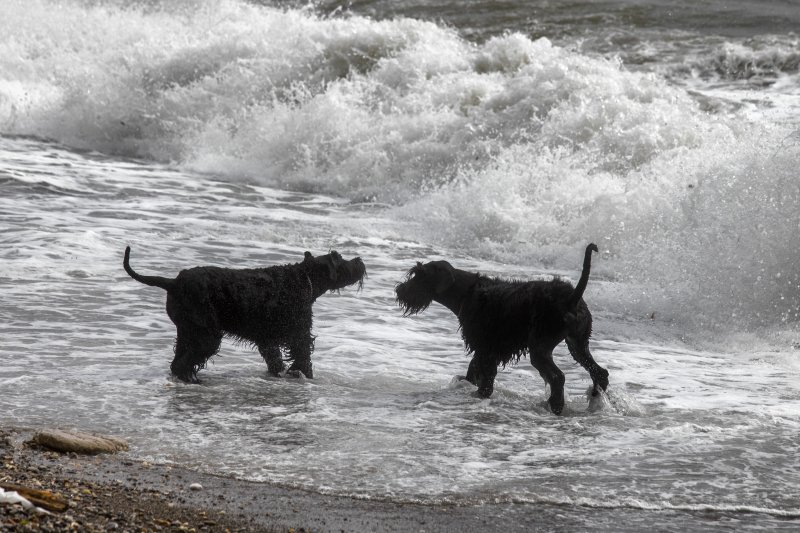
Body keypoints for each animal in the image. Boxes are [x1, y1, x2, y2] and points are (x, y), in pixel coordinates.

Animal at [122, 245, 366, 382]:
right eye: (339, 257)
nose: (360, 260)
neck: (303, 278)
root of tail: (173, 283)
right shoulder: (300, 333)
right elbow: (303, 357)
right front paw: (306, 377)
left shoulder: (268, 339)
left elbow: (275, 359)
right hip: (206, 335)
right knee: (185, 362)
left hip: (188, 330)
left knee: (178, 360)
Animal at [394, 243, 608, 414]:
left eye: (420, 276)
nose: (399, 290)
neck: (466, 293)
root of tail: (572, 298)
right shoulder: (485, 349)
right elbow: (474, 371)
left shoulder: (485, 349)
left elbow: (485, 379)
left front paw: (479, 394)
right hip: (577, 344)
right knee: (599, 372)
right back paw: (596, 402)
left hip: (540, 347)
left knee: (557, 377)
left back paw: (554, 406)